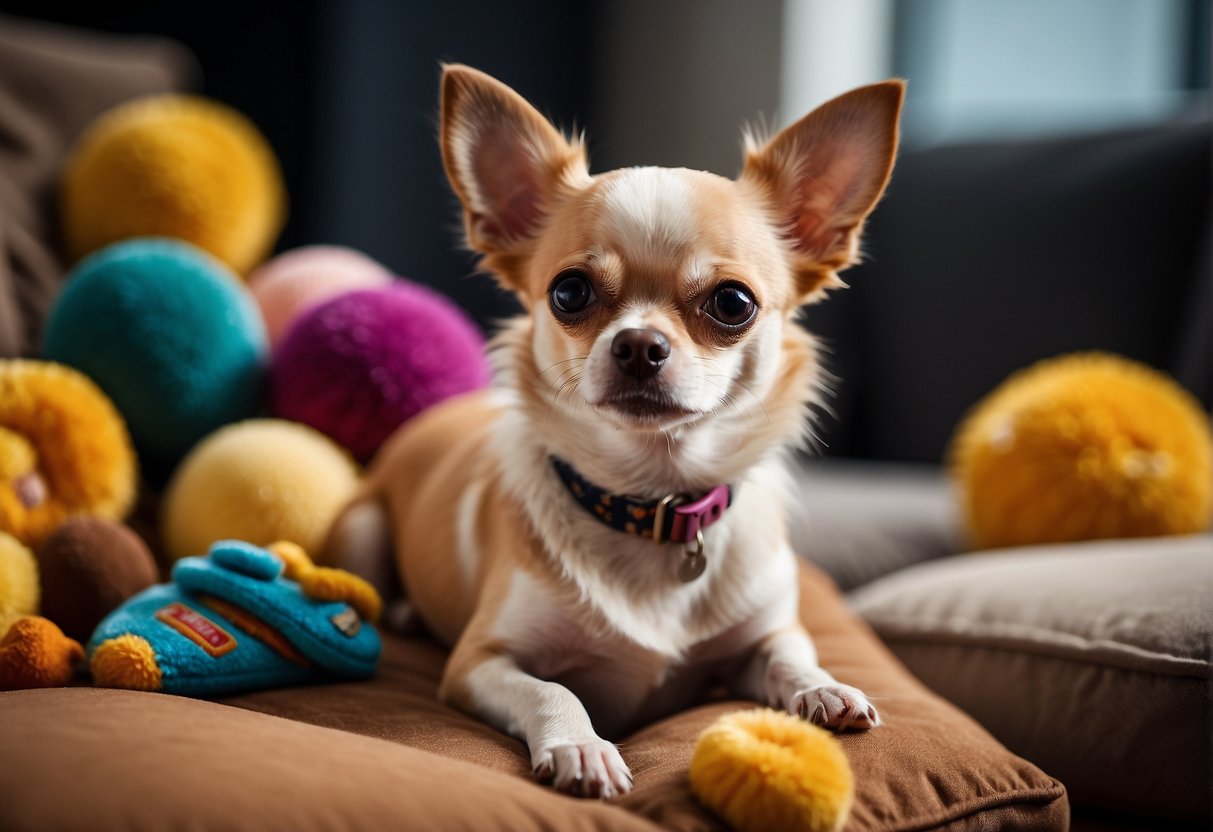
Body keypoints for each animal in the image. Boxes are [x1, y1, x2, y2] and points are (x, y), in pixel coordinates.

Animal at [327, 66, 907, 800]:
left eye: (733, 303)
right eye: (569, 292)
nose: (637, 344)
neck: (650, 503)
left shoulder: (764, 635)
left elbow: (787, 654)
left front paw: (822, 687)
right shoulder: (479, 662)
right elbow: (553, 691)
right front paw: (581, 747)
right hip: (361, 531)